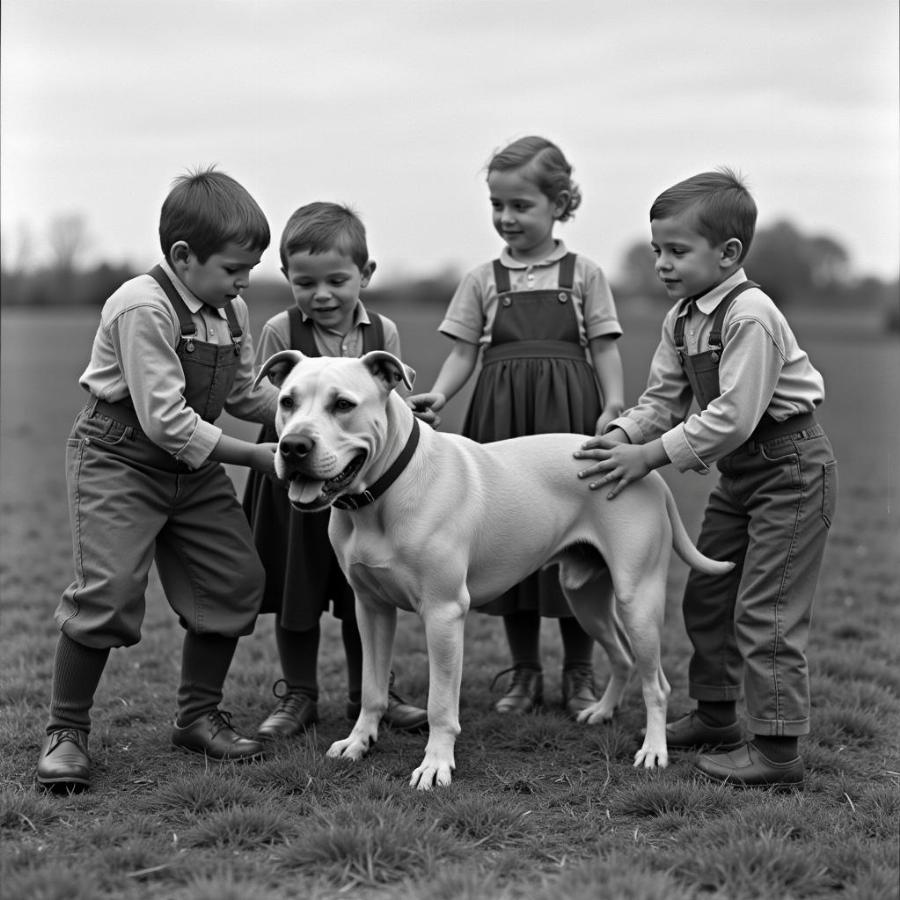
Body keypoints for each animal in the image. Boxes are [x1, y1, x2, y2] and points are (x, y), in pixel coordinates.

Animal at [253, 350, 732, 788]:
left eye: (343, 404)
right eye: (288, 401)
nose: (294, 446)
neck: (382, 495)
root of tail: (641, 466)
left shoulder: (444, 614)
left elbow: (440, 705)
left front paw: (436, 764)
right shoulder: (370, 609)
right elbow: (371, 688)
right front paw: (359, 742)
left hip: (638, 600)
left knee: (657, 684)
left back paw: (653, 750)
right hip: (585, 598)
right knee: (622, 655)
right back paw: (601, 711)